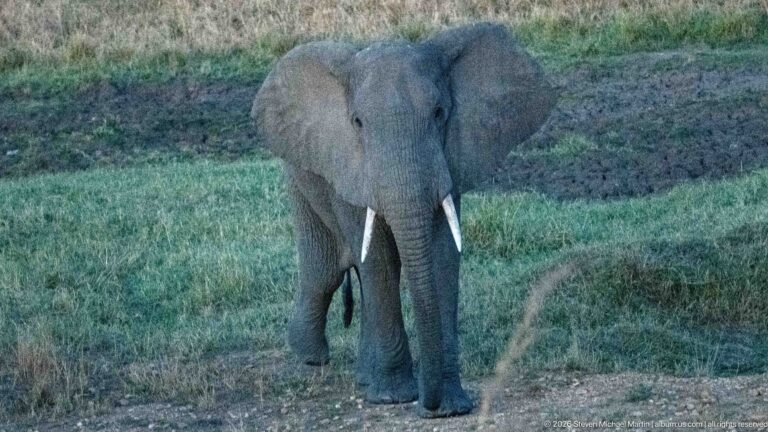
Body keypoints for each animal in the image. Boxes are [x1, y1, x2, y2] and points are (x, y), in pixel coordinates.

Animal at [251, 22, 555, 417]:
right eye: (357, 123)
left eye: (439, 113)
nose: (429, 404)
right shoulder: (350, 167)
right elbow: (378, 258)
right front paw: (394, 397)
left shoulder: (449, 162)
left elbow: (443, 254)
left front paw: (451, 406)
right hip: (300, 171)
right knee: (326, 269)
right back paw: (311, 359)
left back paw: (363, 377)